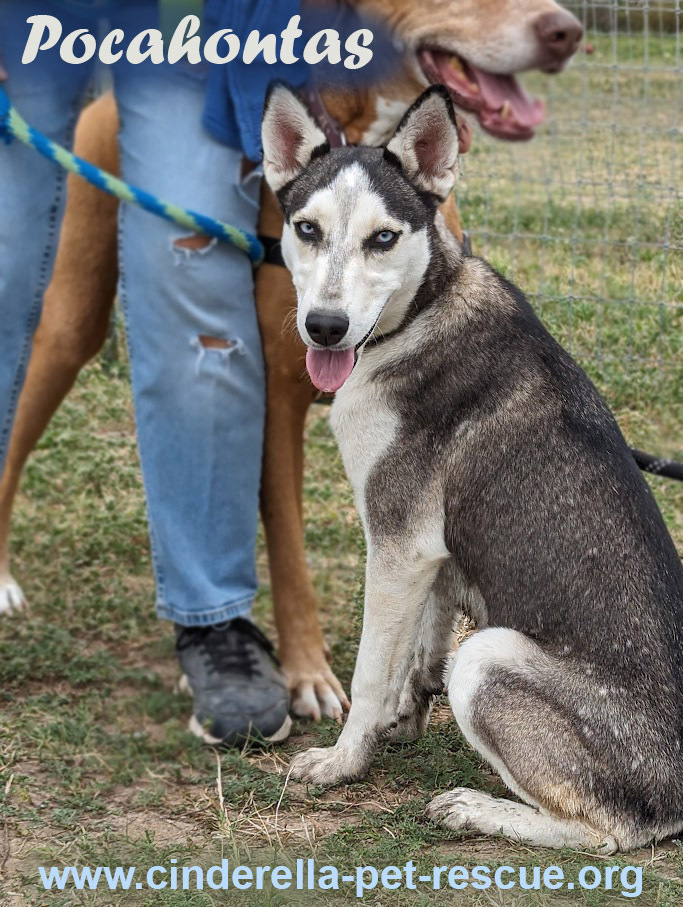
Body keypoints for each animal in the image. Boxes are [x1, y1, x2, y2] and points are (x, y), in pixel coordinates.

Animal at [0, 1, 584, 724]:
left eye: (386, 238)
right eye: (307, 229)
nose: (565, 32)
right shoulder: (276, 399)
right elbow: (287, 549)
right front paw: (308, 672)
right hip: (66, 328)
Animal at [260, 80, 683, 852]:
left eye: (382, 238)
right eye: (306, 229)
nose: (325, 328)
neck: (420, 313)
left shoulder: (396, 542)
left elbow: (370, 674)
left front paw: (342, 762)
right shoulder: (428, 552)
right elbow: (418, 654)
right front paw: (400, 724)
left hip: (487, 658)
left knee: (608, 834)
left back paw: (475, 808)